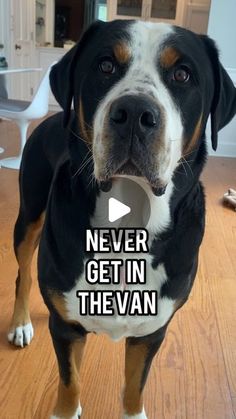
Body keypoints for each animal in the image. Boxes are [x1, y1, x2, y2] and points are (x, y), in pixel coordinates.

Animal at [7, 19, 236, 419]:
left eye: (182, 74)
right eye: (105, 66)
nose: (134, 113)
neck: (127, 226)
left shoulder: (152, 330)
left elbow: (134, 386)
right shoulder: (65, 327)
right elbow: (70, 381)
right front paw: (66, 410)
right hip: (29, 215)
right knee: (23, 272)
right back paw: (20, 323)